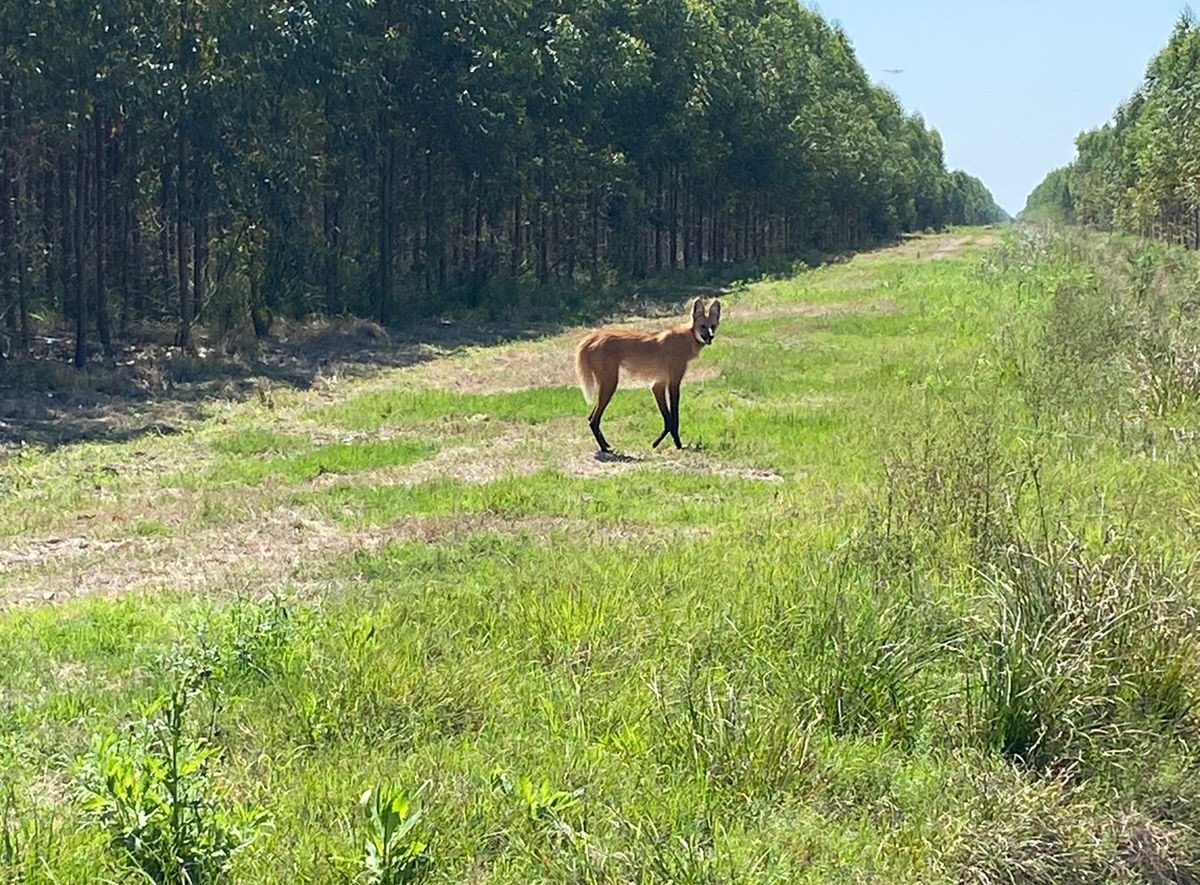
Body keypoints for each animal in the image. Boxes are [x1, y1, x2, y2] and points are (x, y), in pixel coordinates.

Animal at [573, 296, 720, 450]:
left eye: (713, 326)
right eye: (703, 326)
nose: (710, 337)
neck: (687, 338)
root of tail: (592, 337)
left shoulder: (658, 385)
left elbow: (668, 419)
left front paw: (657, 443)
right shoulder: (673, 383)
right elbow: (674, 418)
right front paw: (678, 444)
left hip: (607, 383)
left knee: (590, 417)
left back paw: (606, 444)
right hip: (610, 383)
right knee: (593, 420)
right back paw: (604, 448)